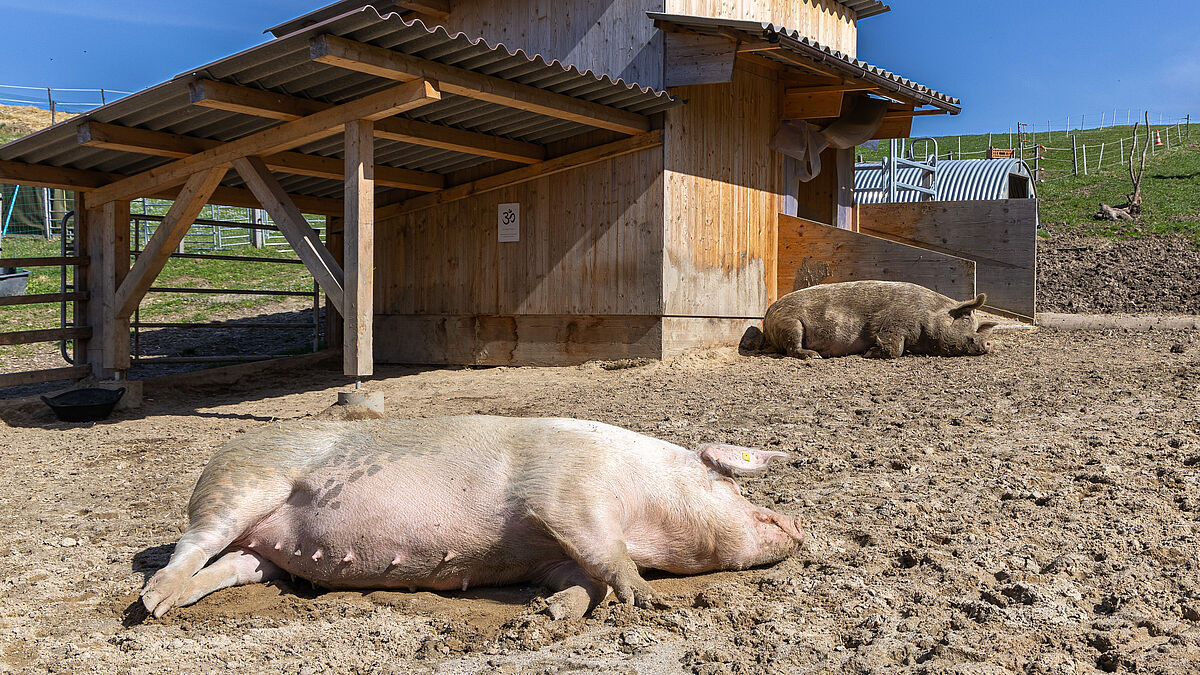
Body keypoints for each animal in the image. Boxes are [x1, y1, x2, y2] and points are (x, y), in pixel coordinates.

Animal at [140, 413, 801, 619]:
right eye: (726, 481)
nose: (797, 527)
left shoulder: (556, 552)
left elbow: (581, 577)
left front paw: (552, 611)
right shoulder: (567, 493)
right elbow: (605, 553)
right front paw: (648, 599)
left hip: (264, 556)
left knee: (225, 567)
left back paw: (167, 605)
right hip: (239, 490)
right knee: (188, 545)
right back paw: (147, 604)